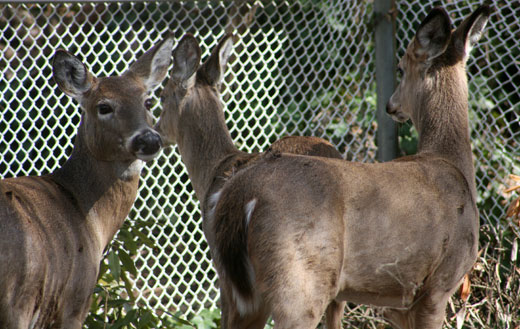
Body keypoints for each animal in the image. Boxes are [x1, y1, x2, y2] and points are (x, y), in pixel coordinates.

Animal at [205, 5, 490, 328]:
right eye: (399, 67)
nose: (390, 105)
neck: (451, 162)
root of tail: (241, 195)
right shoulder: (438, 285)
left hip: (236, 291)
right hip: (300, 284)